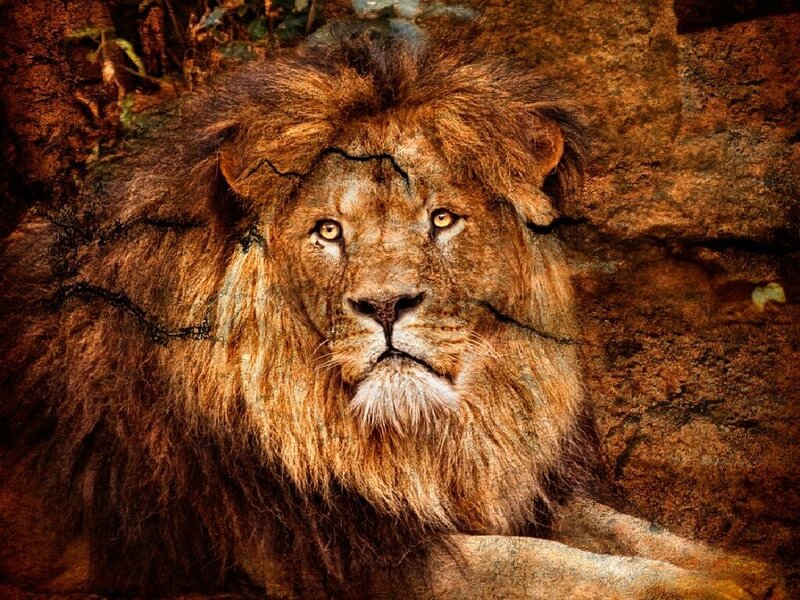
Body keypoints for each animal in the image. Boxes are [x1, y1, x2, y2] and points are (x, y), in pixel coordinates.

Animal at [0, 26, 785, 599]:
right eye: (327, 232)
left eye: (441, 219)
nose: (385, 304)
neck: (416, 442)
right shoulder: (345, 557)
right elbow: (542, 563)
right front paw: (706, 591)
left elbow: (627, 529)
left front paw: (749, 569)